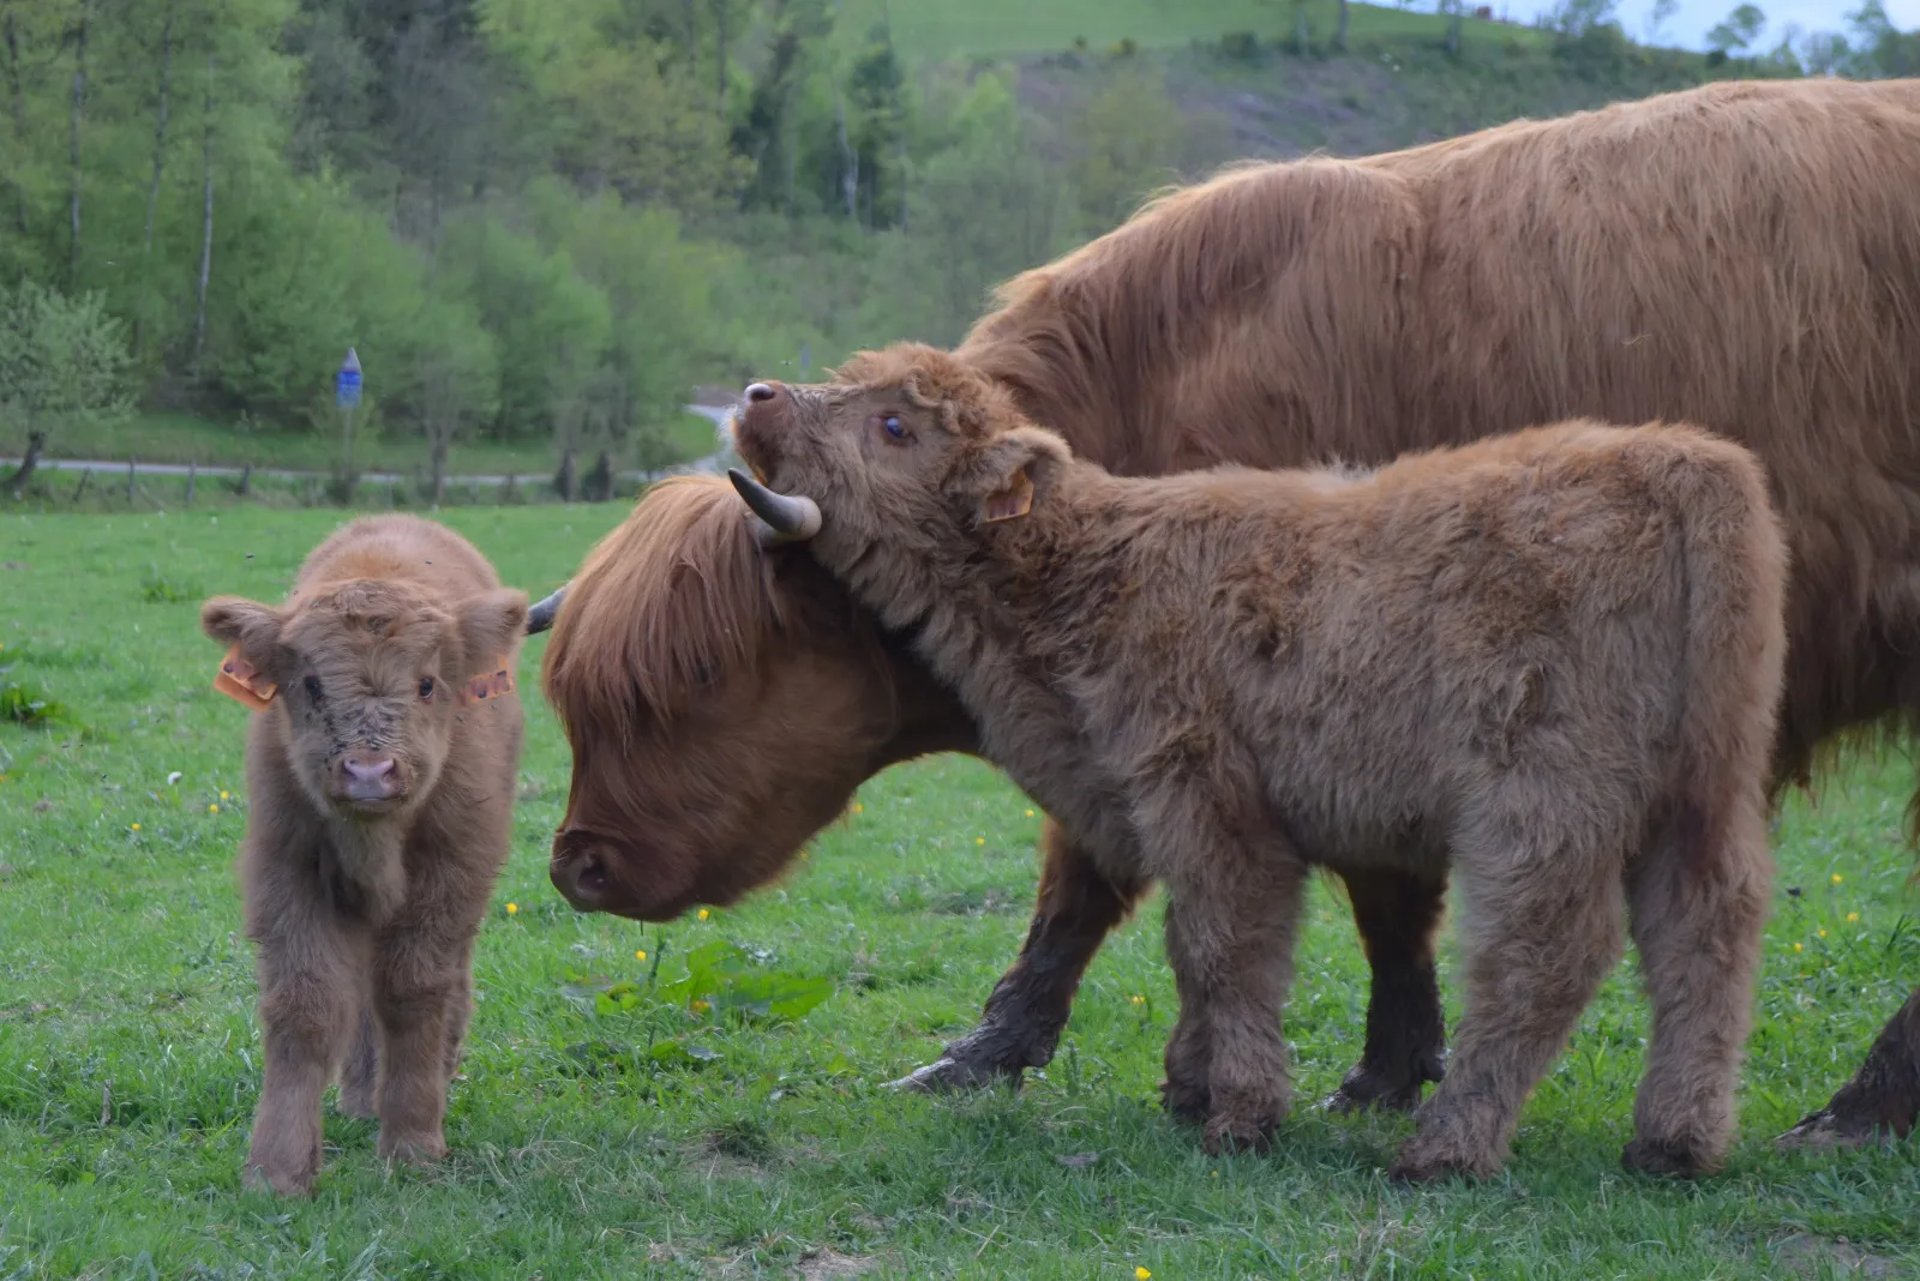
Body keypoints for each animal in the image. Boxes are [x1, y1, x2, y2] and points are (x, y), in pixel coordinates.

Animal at [201, 515, 529, 1195]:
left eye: (427, 684)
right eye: (310, 683)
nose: (369, 771)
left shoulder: (452, 871)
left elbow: (413, 990)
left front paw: (412, 1141)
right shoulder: (288, 872)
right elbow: (306, 1006)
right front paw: (277, 1169)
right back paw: (357, 1096)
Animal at [722, 343, 1789, 1180]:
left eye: (894, 424)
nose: (759, 393)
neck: (1089, 572)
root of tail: (1676, 454)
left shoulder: (1208, 799)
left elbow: (1224, 945)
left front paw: (1237, 1113)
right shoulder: (1158, 807)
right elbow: (1189, 946)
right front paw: (1188, 1088)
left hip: (1539, 799)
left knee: (1545, 951)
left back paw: (1447, 1148)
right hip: (1703, 792)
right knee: (1708, 930)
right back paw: (1675, 1144)